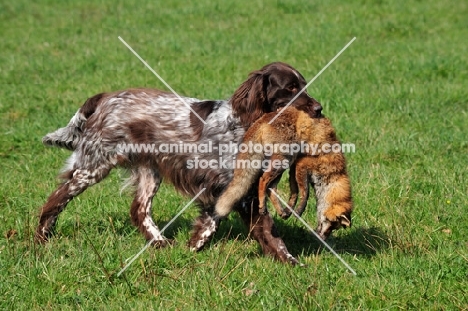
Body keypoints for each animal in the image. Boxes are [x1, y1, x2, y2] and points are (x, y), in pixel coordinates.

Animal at [36, 62, 324, 266]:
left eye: (304, 85)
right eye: (290, 88)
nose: (319, 108)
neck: (244, 125)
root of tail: (106, 97)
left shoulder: (239, 191)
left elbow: (238, 226)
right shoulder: (232, 190)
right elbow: (247, 227)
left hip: (149, 172)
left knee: (139, 210)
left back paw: (160, 243)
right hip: (94, 166)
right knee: (57, 198)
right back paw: (41, 237)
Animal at [214, 107, 352, 241]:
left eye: (334, 228)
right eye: (331, 224)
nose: (322, 238)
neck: (333, 173)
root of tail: (263, 118)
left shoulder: (294, 167)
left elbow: (295, 192)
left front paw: (290, 210)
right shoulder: (302, 164)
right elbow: (305, 193)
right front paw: (299, 210)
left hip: (282, 164)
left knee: (271, 188)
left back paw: (280, 210)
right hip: (284, 159)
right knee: (263, 180)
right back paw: (262, 206)